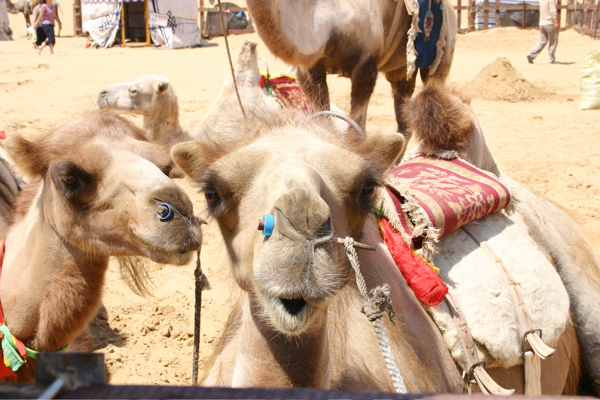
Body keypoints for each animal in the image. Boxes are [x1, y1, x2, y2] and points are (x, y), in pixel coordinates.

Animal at [246, 0, 458, 145]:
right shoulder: (311, 69)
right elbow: (324, 121)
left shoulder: (366, 66)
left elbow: (356, 130)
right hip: (401, 71)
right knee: (404, 120)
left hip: (441, 54)